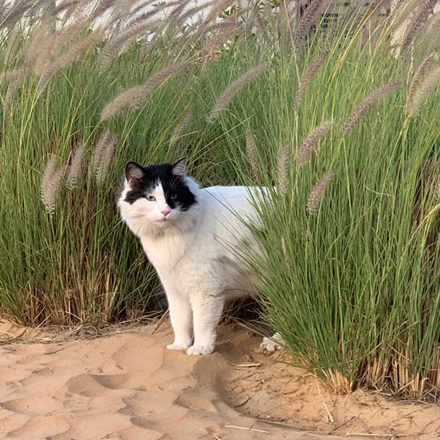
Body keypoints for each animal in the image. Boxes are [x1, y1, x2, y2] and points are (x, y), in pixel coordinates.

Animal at [117, 157, 282, 354]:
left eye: (173, 197)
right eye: (150, 198)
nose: (165, 212)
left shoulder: (205, 289)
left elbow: (201, 323)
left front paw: (201, 347)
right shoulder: (174, 289)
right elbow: (179, 320)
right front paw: (181, 344)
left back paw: (276, 341)